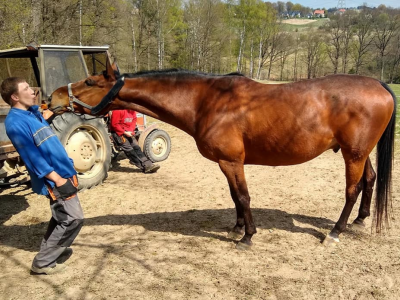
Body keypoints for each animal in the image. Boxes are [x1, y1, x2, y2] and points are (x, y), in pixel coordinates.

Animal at [48, 63, 396, 251]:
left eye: (90, 81)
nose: (53, 97)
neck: (206, 101)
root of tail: (379, 85)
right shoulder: (226, 163)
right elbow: (234, 196)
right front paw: (237, 228)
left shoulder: (232, 161)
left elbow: (243, 196)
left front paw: (248, 236)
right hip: (359, 153)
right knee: (369, 180)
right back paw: (360, 220)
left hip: (353, 154)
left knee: (352, 189)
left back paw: (336, 232)